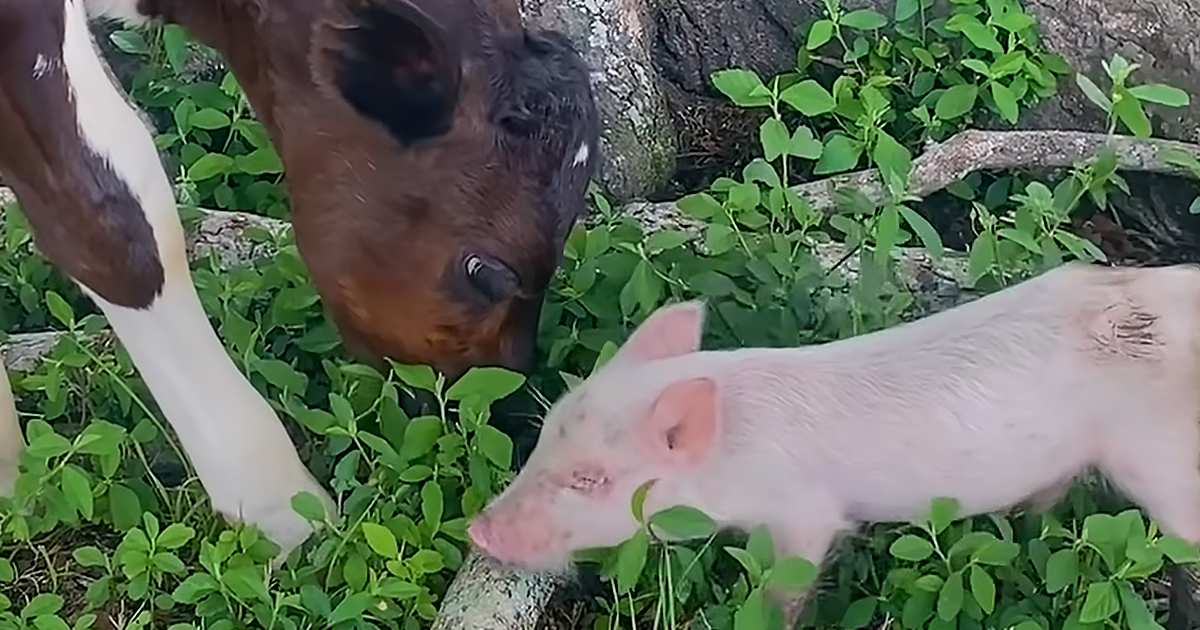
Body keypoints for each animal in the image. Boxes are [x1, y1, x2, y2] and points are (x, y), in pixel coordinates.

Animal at [468, 261, 1200, 626]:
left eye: (590, 479)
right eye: (543, 439)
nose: (477, 529)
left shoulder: (804, 514)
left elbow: (786, 582)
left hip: (1158, 455)